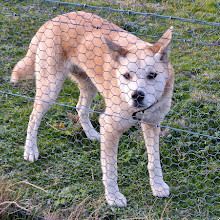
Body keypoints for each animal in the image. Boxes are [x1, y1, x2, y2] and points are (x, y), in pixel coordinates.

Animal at [11, 11, 174, 207]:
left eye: (152, 75)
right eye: (126, 75)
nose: (137, 95)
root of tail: (55, 18)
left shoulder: (152, 124)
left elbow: (154, 161)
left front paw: (157, 185)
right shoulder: (110, 127)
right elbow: (110, 168)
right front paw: (113, 197)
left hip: (89, 85)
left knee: (80, 108)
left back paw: (91, 134)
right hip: (50, 89)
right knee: (34, 117)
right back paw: (30, 150)